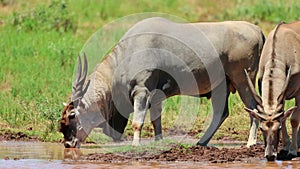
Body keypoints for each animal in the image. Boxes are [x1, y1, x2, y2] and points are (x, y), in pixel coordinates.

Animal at [59, 17, 264, 148]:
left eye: (72, 115)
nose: (68, 144)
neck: (127, 53)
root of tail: (257, 30)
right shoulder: (156, 96)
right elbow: (156, 120)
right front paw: (158, 141)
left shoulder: (142, 91)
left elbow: (138, 122)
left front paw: (135, 145)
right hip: (222, 86)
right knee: (222, 113)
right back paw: (201, 142)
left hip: (242, 80)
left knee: (253, 108)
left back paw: (250, 142)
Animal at [245, 21, 300, 161]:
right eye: (261, 129)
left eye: (278, 128)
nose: (270, 156)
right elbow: (284, 116)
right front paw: (285, 146)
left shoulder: (299, 93)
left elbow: (294, 119)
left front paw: (292, 150)